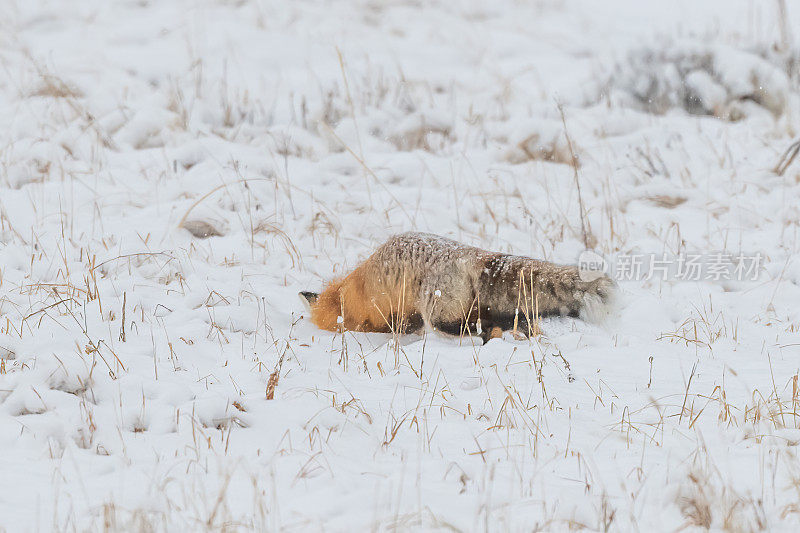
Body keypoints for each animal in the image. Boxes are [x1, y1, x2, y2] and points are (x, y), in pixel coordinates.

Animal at [300, 232, 612, 340]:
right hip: (496, 312)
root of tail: (473, 256)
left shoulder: (392, 317)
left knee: (471, 331)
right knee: (518, 326)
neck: (346, 294)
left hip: (439, 315)